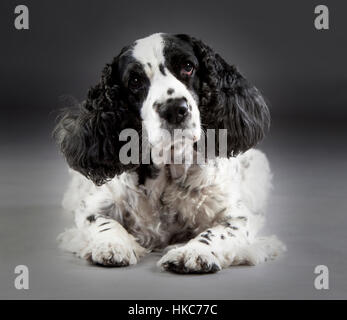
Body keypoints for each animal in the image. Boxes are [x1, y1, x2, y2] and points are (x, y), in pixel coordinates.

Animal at [55, 31, 286, 272]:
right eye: (135, 81)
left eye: (187, 66)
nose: (175, 109)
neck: (168, 170)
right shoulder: (92, 207)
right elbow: (103, 222)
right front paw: (113, 245)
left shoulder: (237, 215)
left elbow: (219, 232)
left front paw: (194, 251)